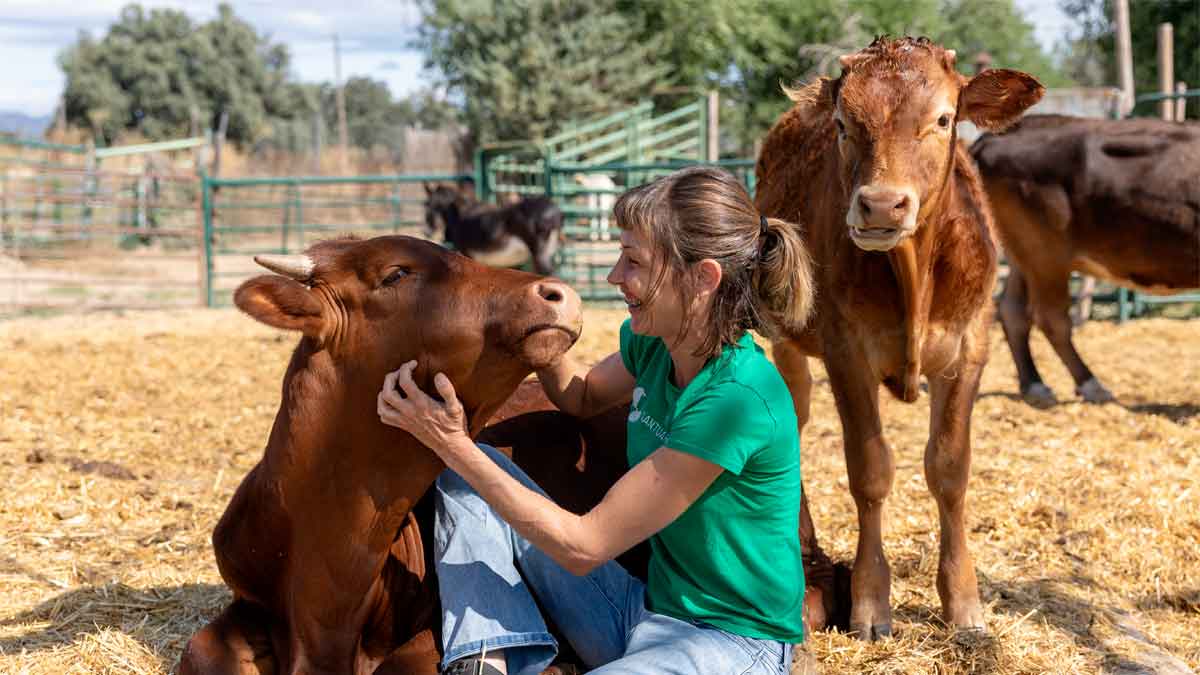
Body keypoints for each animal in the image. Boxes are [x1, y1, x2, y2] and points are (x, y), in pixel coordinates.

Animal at [974, 114, 1200, 403]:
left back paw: (1034, 384)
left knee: (1012, 311)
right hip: (1045, 254)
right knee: (1051, 319)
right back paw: (1091, 384)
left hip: (1022, 255)